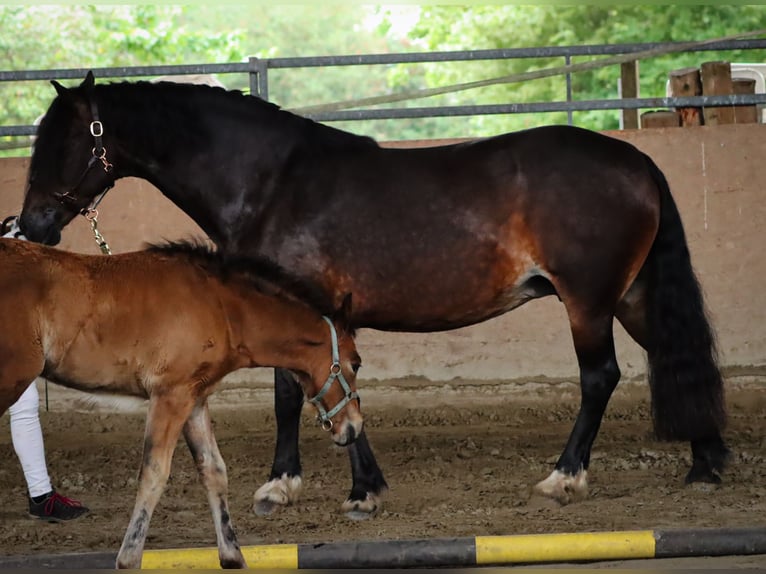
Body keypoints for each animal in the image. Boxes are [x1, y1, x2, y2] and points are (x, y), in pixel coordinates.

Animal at [0, 238, 364, 572]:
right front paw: (128, 557)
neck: (221, 306)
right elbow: (154, 472)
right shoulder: (170, 395)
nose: (354, 427)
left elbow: (214, 471)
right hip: (11, 380)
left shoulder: (195, 398)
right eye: (356, 363)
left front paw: (232, 555)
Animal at [15, 73, 728, 520]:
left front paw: (309, 487)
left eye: (63, 143)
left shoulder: (308, 305)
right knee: (675, 355)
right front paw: (343, 484)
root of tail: (635, 161)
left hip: (587, 301)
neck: (271, 182)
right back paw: (707, 462)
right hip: (629, 295)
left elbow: (301, 391)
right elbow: (324, 389)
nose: (32, 225)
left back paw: (565, 476)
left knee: (600, 377)